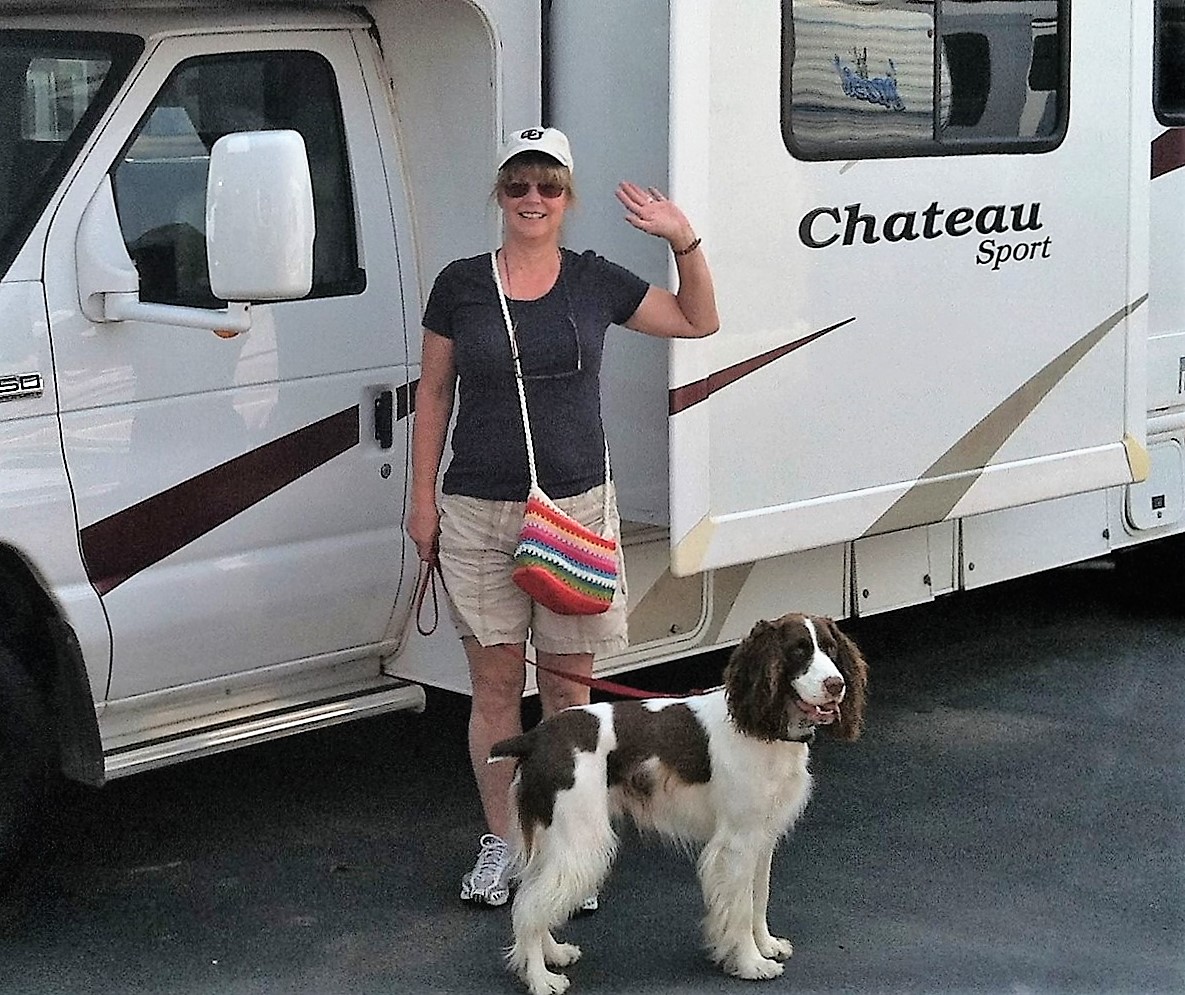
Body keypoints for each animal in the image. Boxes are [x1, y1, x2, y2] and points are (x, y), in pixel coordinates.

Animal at [485, 615, 867, 995]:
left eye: (831, 648)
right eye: (798, 650)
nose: (836, 685)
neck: (762, 728)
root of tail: (536, 737)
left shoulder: (762, 836)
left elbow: (760, 897)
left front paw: (767, 945)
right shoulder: (737, 843)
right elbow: (742, 908)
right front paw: (751, 963)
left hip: (554, 838)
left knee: (535, 897)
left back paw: (554, 953)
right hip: (581, 840)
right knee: (529, 907)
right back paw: (541, 979)